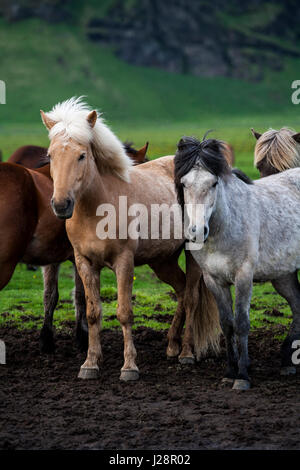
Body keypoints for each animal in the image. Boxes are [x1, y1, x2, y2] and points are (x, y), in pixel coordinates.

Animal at [40, 96, 220, 382]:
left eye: (82, 155)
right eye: (50, 156)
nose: (61, 205)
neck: (98, 209)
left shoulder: (124, 262)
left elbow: (124, 313)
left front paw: (129, 367)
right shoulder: (84, 262)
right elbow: (93, 313)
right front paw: (90, 364)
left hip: (192, 252)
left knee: (191, 296)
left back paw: (186, 353)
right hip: (162, 261)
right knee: (181, 290)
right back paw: (171, 345)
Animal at [175, 135, 300, 390]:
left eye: (213, 183)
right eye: (184, 184)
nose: (197, 232)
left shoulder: (243, 276)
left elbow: (242, 322)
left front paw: (242, 376)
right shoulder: (214, 280)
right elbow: (227, 324)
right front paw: (230, 372)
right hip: (283, 275)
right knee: (298, 306)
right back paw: (286, 361)